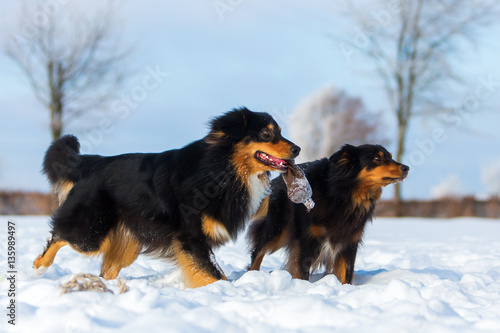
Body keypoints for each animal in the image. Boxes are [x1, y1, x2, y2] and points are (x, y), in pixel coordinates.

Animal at [36, 107, 300, 286]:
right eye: (266, 134)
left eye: (279, 132)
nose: (297, 149)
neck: (223, 168)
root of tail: (92, 163)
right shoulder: (191, 236)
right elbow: (215, 274)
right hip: (91, 231)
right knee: (59, 235)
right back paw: (38, 268)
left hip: (128, 243)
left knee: (107, 270)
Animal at [248, 143, 408, 282]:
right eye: (377, 158)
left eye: (391, 157)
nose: (406, 168)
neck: (344, 195)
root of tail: (275, 181)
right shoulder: (306, 241)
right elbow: (301, 272)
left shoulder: (349, 242)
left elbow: (345, 275)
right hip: (277, 229)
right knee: (257, 252)